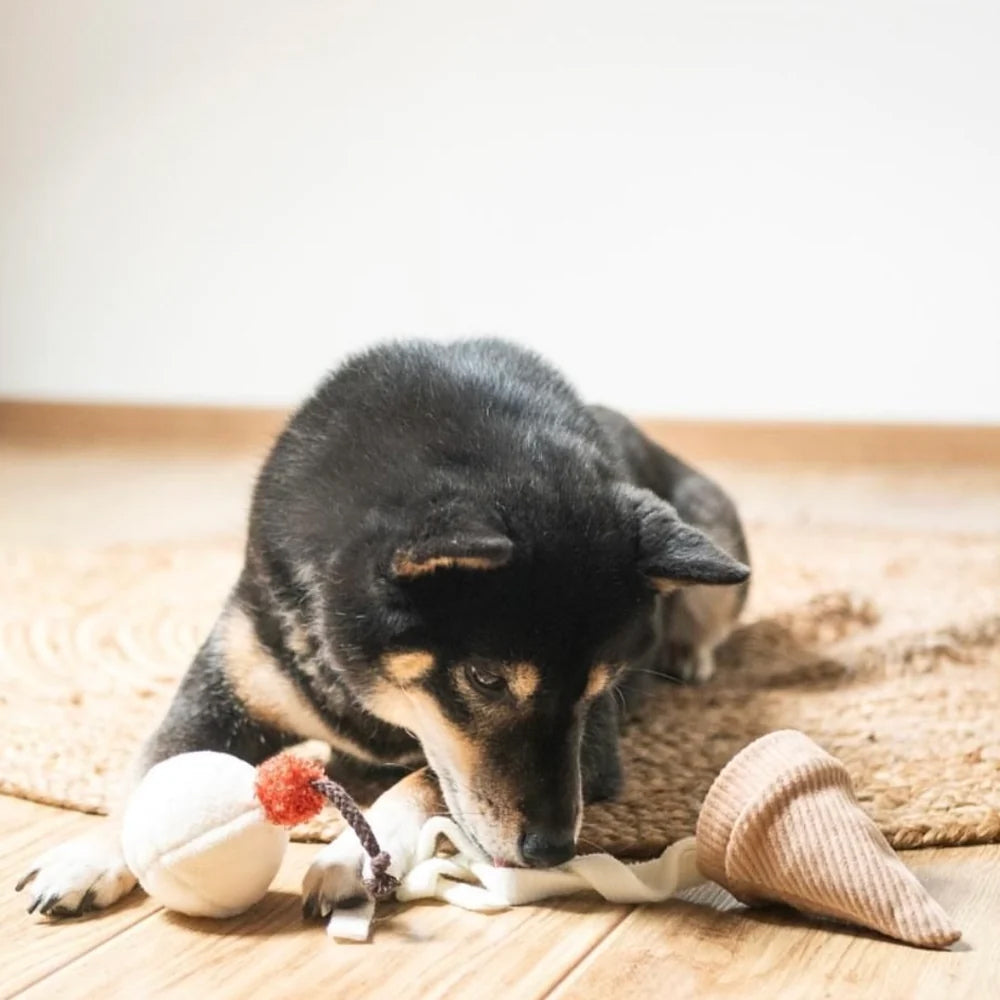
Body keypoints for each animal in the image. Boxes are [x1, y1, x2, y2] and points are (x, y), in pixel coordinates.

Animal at [17, 340, 752, 916]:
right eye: (486, 678)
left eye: (601, 687)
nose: (552, 850)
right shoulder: (223, 688)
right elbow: (148, 772)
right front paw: (88, 855)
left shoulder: (593, 746)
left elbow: (426, 780)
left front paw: (354, 853)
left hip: (716, 540)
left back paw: (692, 655)